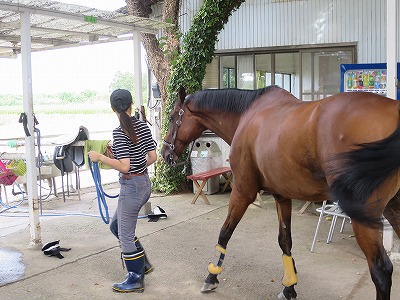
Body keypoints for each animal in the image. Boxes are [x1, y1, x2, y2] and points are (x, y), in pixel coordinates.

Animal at [162, 85, 400, 298]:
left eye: (173, 118)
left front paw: (211, 276)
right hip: (392, 208)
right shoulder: (282, 196)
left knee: (381, 271)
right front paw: (289, 288)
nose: (165, 152)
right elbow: (285, 240)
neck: (247, 115)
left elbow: (225, 232)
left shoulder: (242, 191)